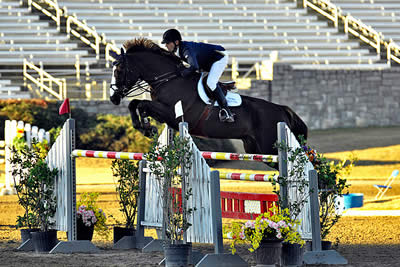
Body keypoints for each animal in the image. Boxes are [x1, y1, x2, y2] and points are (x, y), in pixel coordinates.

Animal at [108, 37, 306, 155]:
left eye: (119, 70)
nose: (112, 98)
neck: (168, 79)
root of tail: (282, 110)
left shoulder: (172, 114)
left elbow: (141, 105)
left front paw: (147, 127)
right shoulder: (163, 114)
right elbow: (134, 103)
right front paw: (143, 127)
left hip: (270, 146)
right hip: (257, 149)